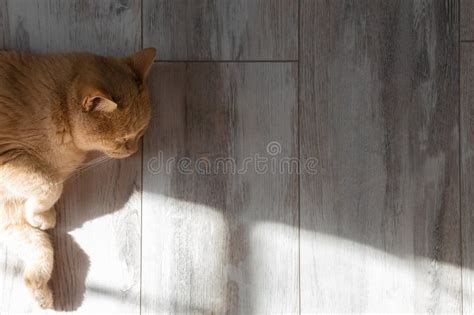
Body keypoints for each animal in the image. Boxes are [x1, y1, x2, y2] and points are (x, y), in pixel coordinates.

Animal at [0, 48, 156, 310]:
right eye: (123, 139)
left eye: (141, 133)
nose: (134, 150)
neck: (56, 102)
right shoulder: (10, 160)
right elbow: (49, 185)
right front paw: (42, 214)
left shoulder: (9, 216)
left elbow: (41, 248)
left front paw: (40, 292)